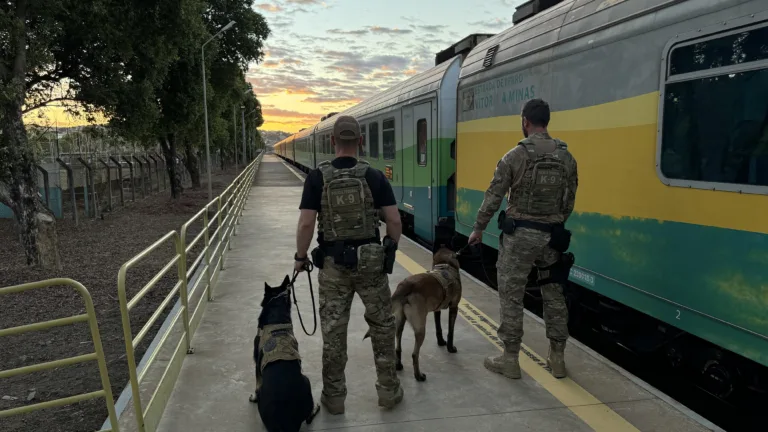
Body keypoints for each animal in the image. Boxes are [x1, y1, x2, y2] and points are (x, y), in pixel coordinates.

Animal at [250, 276, 320, 430]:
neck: (276, 307)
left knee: (308, 418)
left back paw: (316, 408)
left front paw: (254, 397)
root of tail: (285, 421)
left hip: (306, 380)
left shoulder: (256, 361)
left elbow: (257, 383)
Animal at [364, 246, 460, 382]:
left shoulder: (437, 310)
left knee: (398, 347)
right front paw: (451, 348)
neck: (445, 264)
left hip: (399, 321)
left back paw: (398, 365)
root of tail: (406, 286)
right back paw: (418, 376)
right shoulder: (454, 307)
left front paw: (441, 341)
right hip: (420, 328)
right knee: (415, 354)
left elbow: (439, 328)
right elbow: (450, 331)